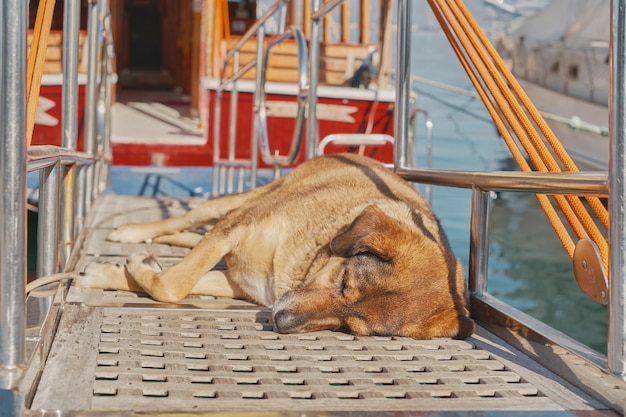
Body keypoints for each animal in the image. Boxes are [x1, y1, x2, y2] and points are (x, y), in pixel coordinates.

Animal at [80, 153, 476, 338]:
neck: (303, 266)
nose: (281, 321)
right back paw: (135, 231)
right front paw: (133, 265)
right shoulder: (238, 225)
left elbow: (177, 282)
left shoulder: (239, 283)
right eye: (344, 281)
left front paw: (114, 272)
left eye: (350, 328)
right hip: (243, 200)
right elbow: (174, 285)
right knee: (189, 218)